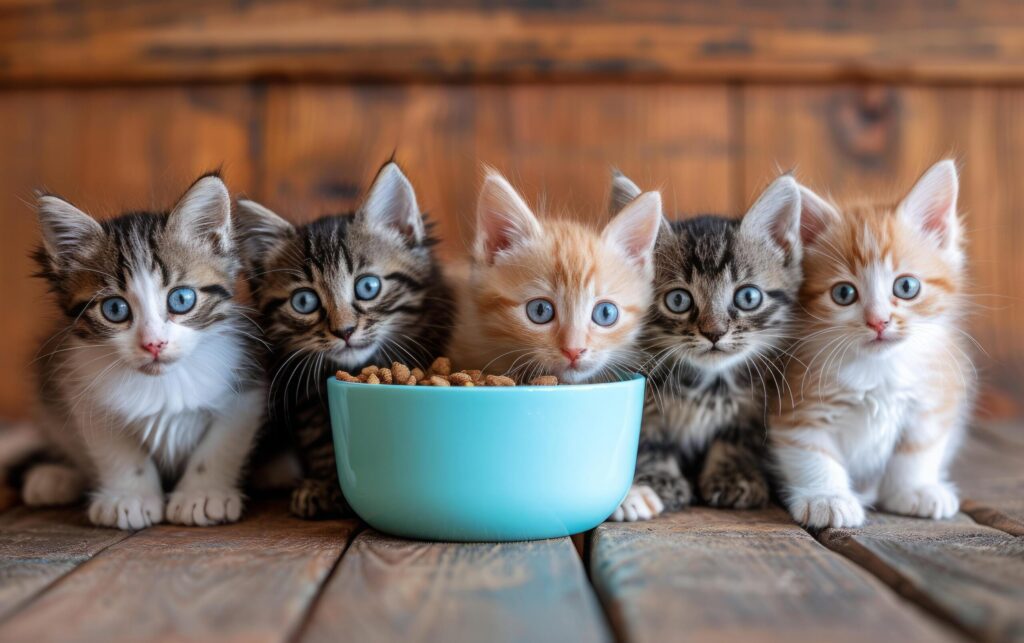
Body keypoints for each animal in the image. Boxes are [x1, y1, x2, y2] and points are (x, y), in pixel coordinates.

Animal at [24, 173, 266, 528]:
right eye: (114, 309)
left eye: (181, 299)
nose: (154, 343)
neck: (162, 383)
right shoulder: (84, 392)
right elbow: (119, 452)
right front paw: (129, 497)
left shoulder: (246, 388)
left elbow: (220, 445)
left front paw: (202, 495)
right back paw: (55, 477)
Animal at [237, 162, 454, 520]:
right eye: (304, 302)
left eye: (368, 287)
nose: (345, 331)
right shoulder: (304, 392)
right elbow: (320, 437)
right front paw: (326, 484)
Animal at [602, 172, 802, 522]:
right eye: (678, 300)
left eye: (748, 297)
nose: (714, 332)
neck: (705, 384)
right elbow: (649, 441)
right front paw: (660, 481)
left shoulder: (754, 402)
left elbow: (737, 439)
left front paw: (734, 476)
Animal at [770, 159, 974, 528]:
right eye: (843, 293)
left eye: (906, 287)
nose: (878, 321)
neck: (878, 368)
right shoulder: (797, 404)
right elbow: (812, 453)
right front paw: (827, 497)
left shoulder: (932, 399)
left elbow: (917, 451)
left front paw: (915, 489)